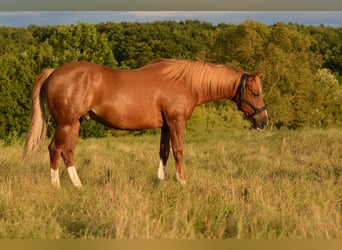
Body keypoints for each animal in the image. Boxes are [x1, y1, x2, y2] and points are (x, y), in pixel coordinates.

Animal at [25, 58, 268, 188]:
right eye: (256, 93)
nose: (264, 121)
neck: (185, 83)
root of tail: (54, 72)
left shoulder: (166, 125)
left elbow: (164, 152)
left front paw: (161, 180)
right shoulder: (176, 121)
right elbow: (178, 151)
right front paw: (182, 181)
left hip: (75, 125)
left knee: (68, 152)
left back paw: (78, 185)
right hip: (65, 124)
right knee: (54, 149)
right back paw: (56, 186)